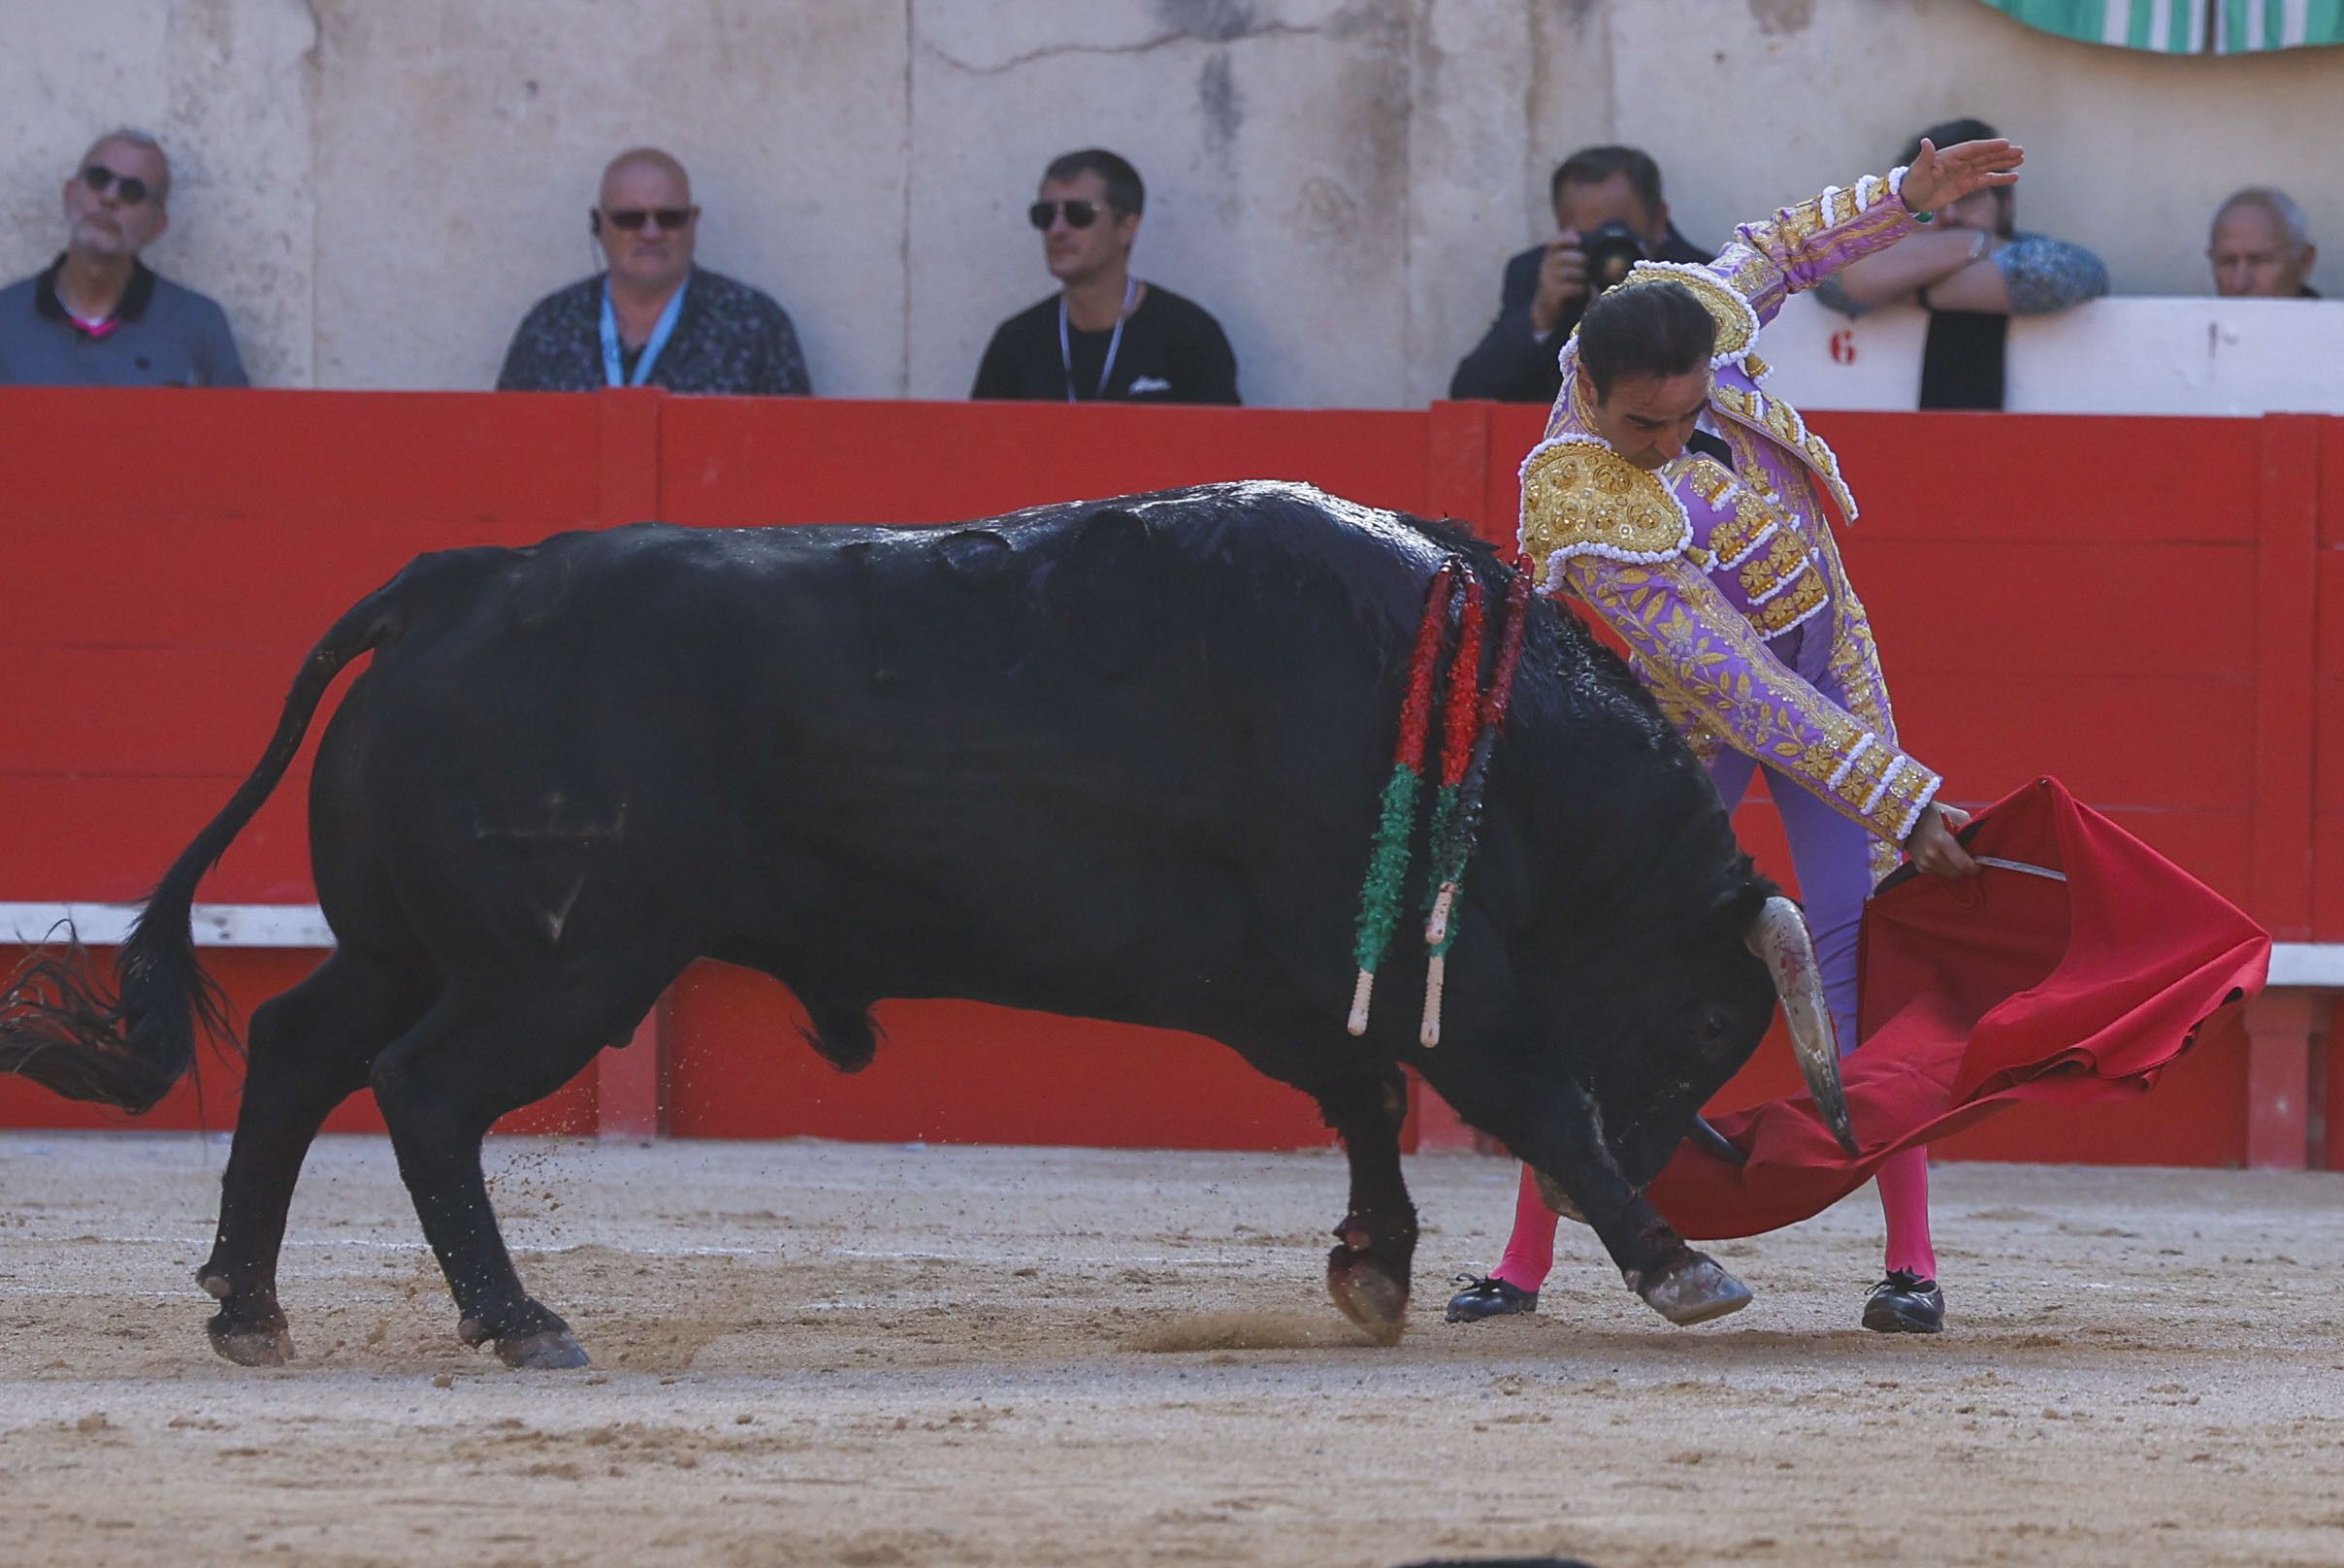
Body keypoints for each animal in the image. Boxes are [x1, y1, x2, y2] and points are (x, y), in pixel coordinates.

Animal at [9, 482, 1856, 1359]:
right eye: (1713, 1019)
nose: (1686, 1161)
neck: (1486, 728)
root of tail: (455, 580)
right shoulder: (1439, 979)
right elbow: (1520, 1090)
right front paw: (1682, 1265)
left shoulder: (1305, 989)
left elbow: (1363, 1108)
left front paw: (1375, 1270)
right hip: (561, 967)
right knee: (424, 1091)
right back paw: (519, 1324)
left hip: (417, 942)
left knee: (301, 1050)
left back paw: (249, 1310)